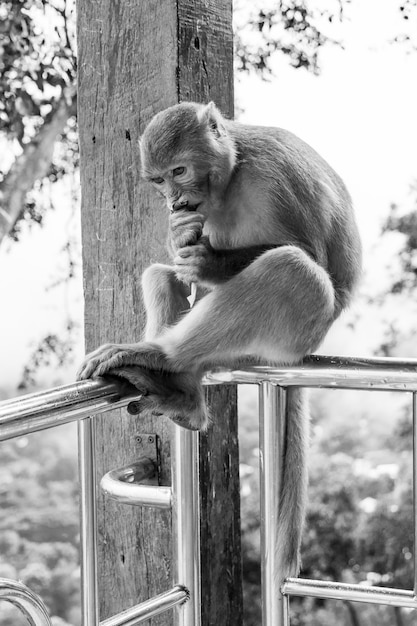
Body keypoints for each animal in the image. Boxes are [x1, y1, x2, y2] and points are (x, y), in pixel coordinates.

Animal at [77, 101, 360, 576]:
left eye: (179, 170)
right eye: (159, 180)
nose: (174, 201)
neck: (233, 173)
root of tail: (303, 354)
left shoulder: (276, 176)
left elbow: (309, 252)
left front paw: (208, 260)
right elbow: (176, 259)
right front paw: (178, 235)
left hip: (294, 334)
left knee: (291, 268)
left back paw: (161, 354)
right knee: (162, 275)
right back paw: (183, 393)